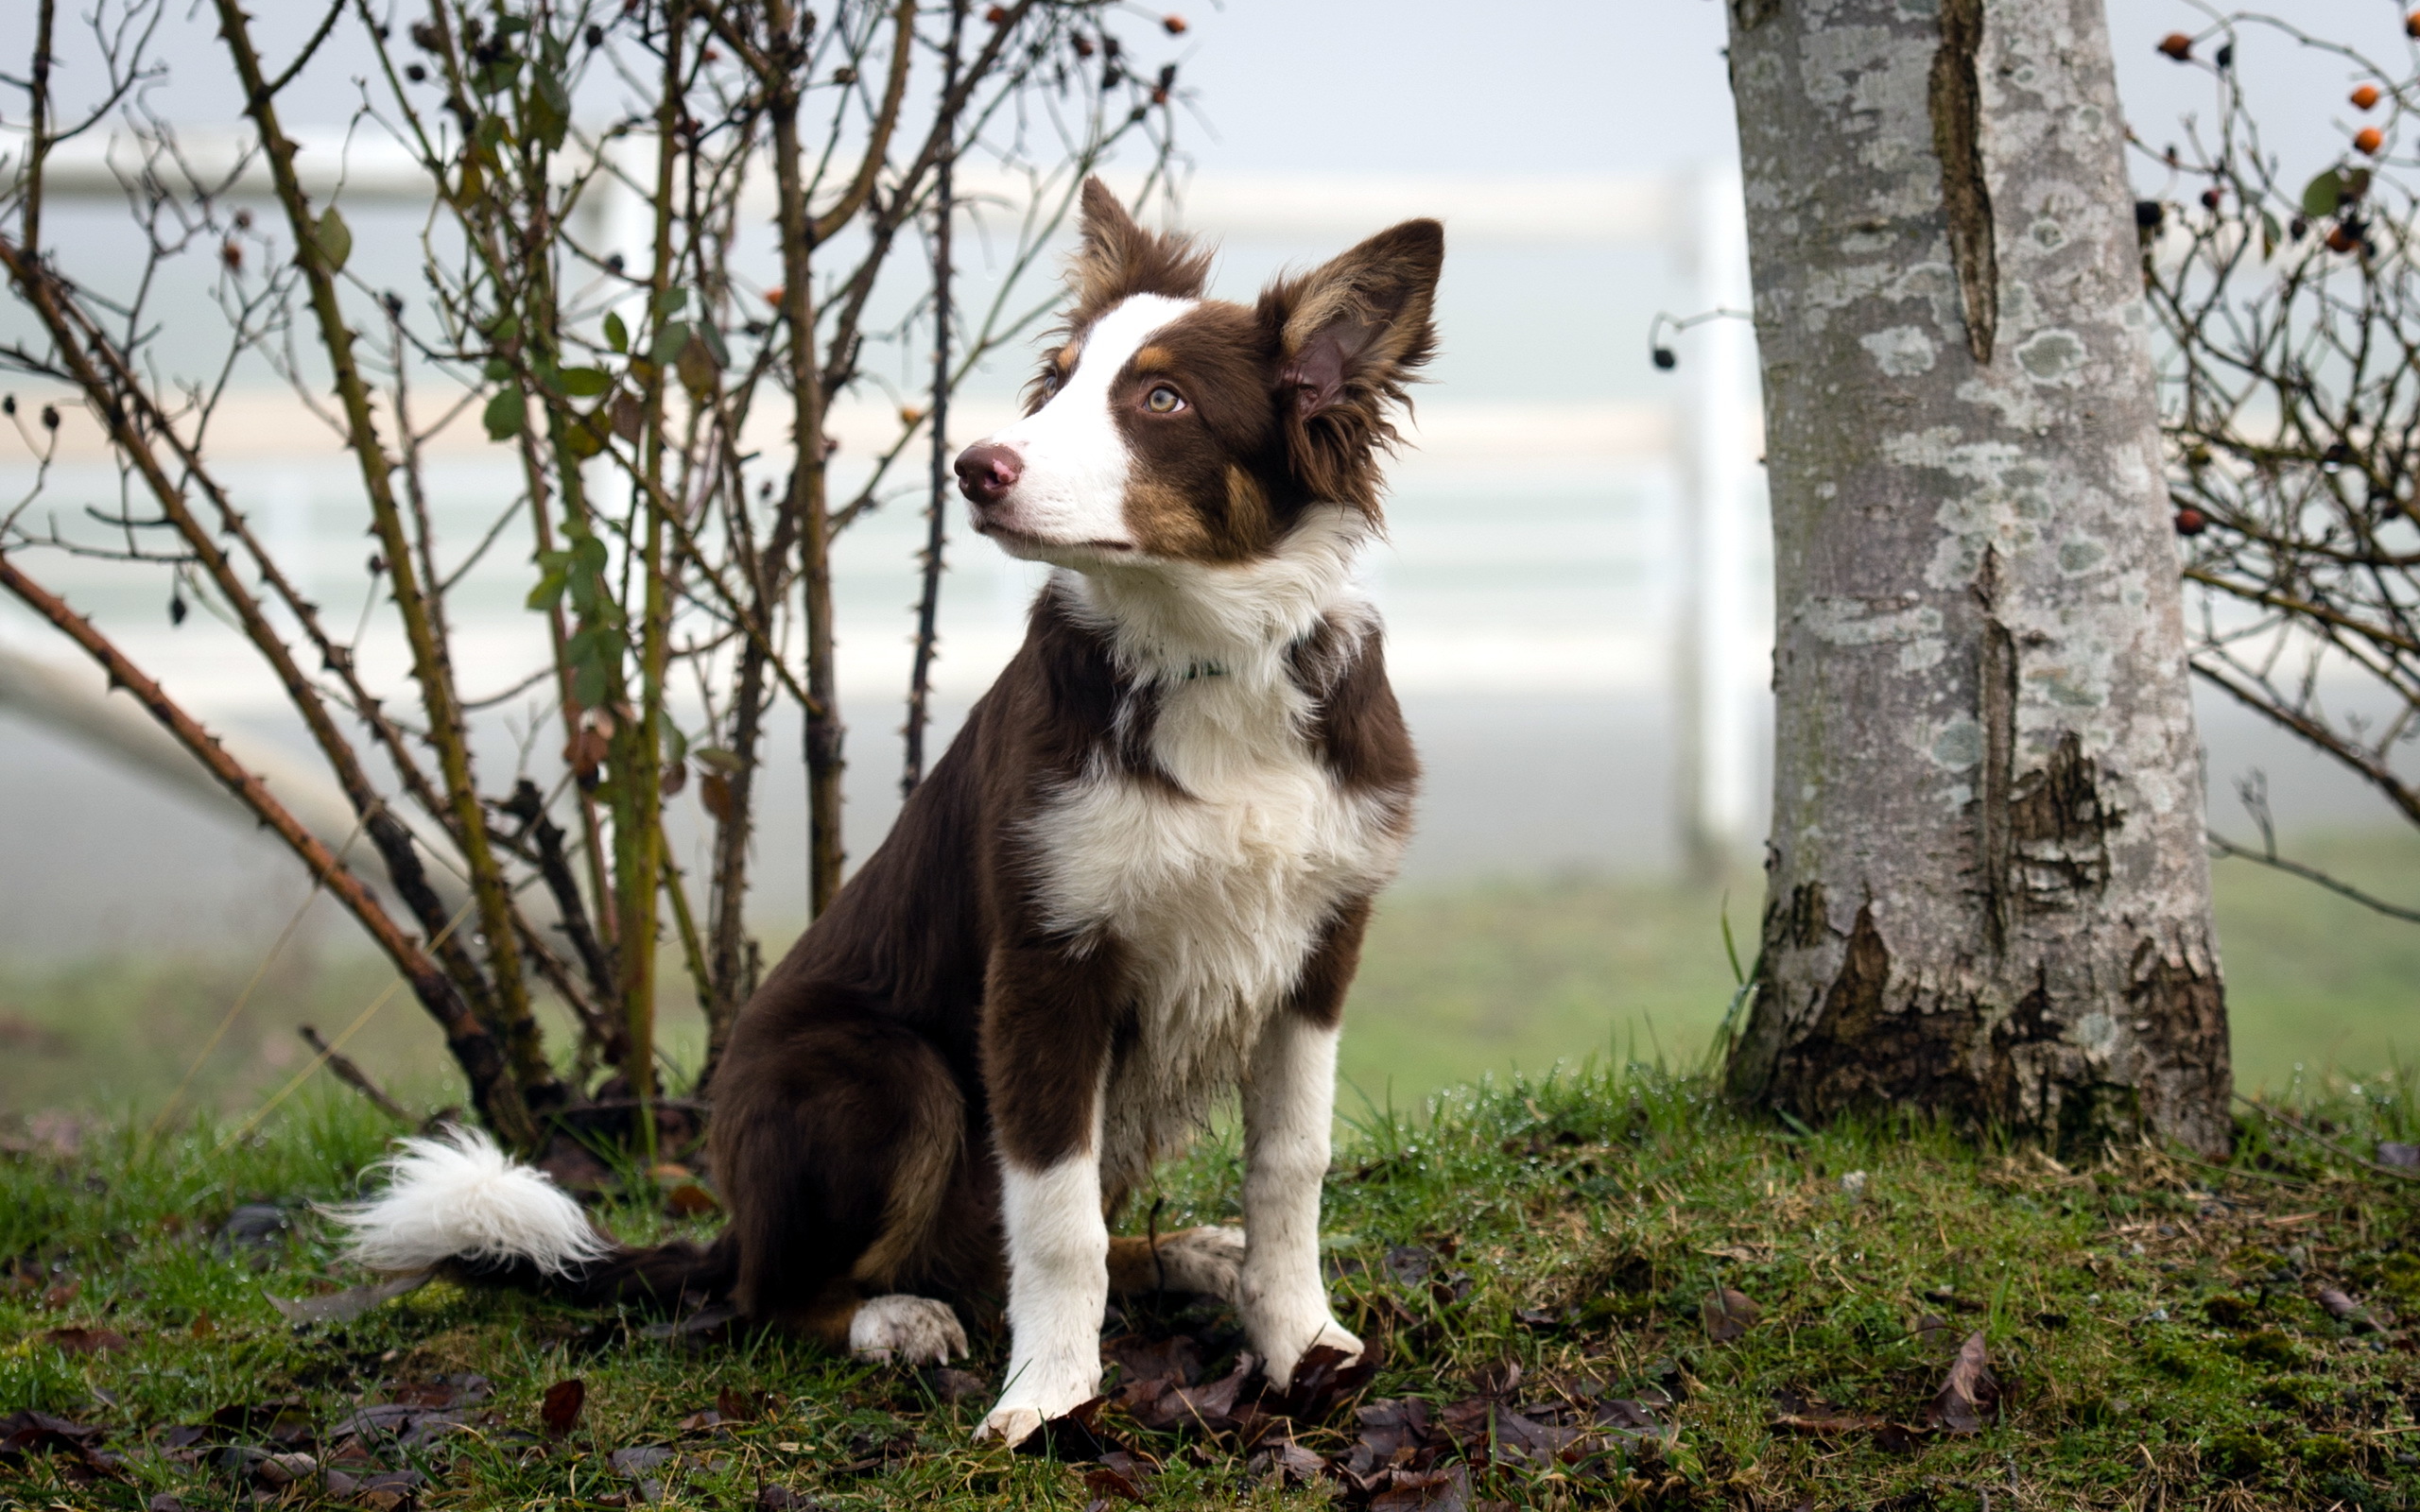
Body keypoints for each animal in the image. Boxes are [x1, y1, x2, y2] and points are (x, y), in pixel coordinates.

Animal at [338, 176, 1432, 1441]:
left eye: (1161, 399)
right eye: (1056, 379)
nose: (975, 466)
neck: (1202, 662)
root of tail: (732, 1224)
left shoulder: (1315, 945)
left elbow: (1289, 1165)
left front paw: (1297, 1338)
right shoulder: (1044, 964)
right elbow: (1053, 1217)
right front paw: (1048, 1398)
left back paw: (1192, 1256)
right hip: (884, 1073)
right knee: (773, 1295)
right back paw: (893, 1318)